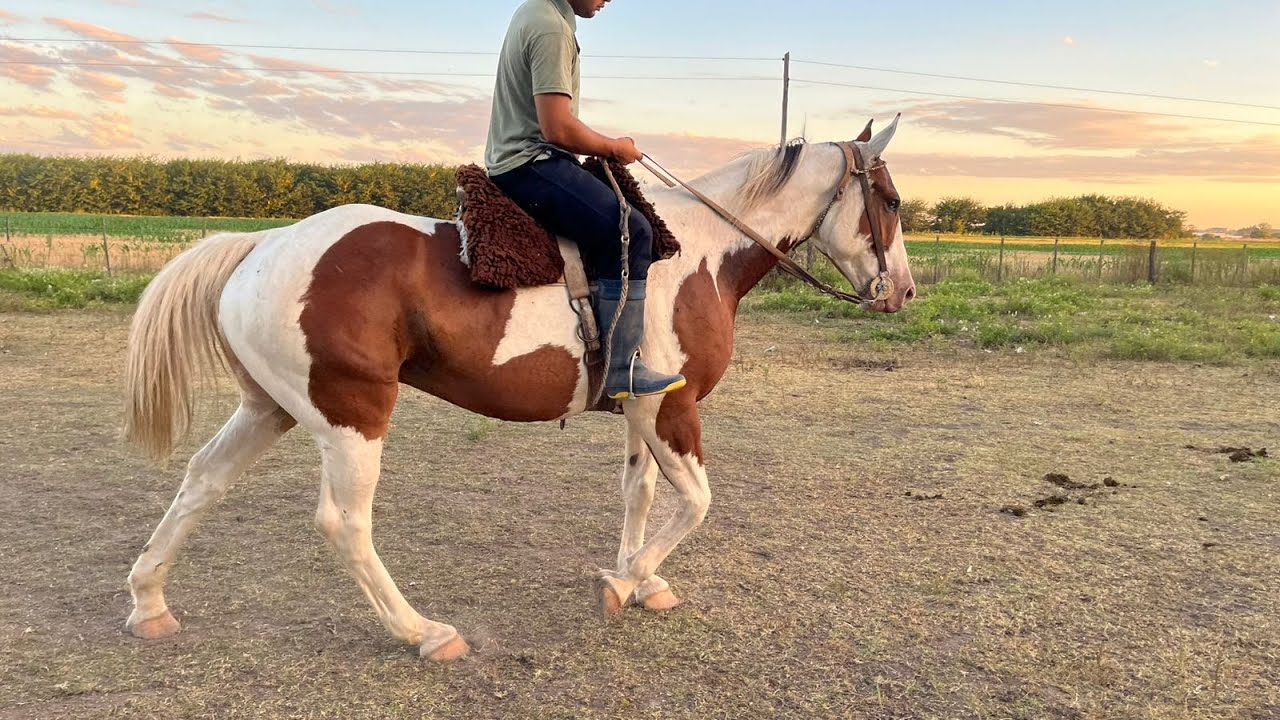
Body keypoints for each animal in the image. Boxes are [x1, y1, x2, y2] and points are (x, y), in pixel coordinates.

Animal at [121, 116, 916, 662]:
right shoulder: (670, 404)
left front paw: (641, 580)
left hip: (269, 410)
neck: (699, 253)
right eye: (891, 199)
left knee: (202, 480)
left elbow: (641, 493)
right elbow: (696, 503)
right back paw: (424, 632)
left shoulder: (638, 408)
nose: (902, 291)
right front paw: (622, 583)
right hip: (352, 417)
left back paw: (149, 601)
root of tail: (263, 244)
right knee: (344, 524)